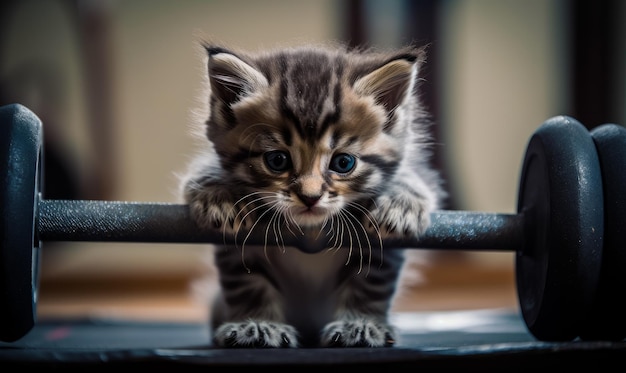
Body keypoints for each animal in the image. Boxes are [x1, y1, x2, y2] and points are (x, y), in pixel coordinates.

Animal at [180, 42, 444, 348]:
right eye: (277, 160)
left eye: (343, 163)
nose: (310, 196)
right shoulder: (237, 249)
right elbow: (248, 284)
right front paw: (257, 324)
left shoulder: (383, 250)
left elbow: (370, 284)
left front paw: (361, 324)